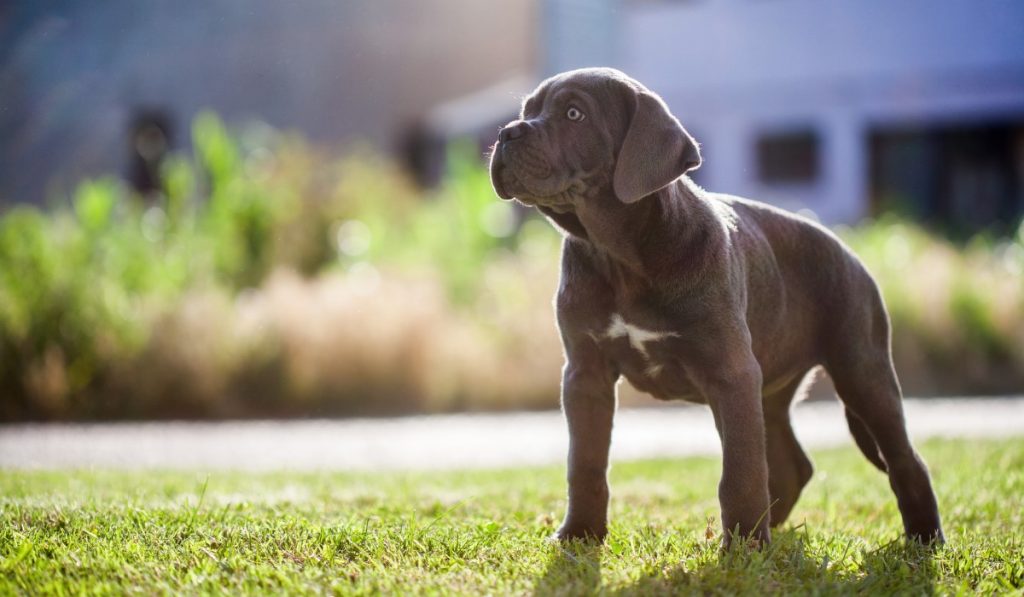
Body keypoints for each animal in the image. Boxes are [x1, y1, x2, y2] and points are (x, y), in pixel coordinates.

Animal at [487, 67, 942, 548]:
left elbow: (739, 471)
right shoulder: (585, 373)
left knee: (904, 459)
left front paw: (742, 548)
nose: (507, 132)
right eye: (527, 111)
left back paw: (922, 539)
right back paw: (769, 531)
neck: (620, 255)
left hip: (861, 369)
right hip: (770, 387)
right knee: (791, 464)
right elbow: (585, 462)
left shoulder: (730, 371)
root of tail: (850, 252)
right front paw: (579, 535)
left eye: (575, 113)